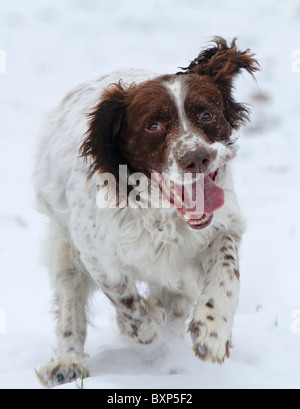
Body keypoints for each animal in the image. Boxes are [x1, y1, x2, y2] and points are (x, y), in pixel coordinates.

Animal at [34, 38, 258, 386]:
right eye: (153, 125)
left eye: (207, 115)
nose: (196, 158)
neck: (162, 213)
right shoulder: (94, 253)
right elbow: (125, 299)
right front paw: (144, 327)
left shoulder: (224, 225)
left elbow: (227, 273)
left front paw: (212, 330)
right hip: (63, 243)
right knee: (70, 301)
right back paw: (67, 360)